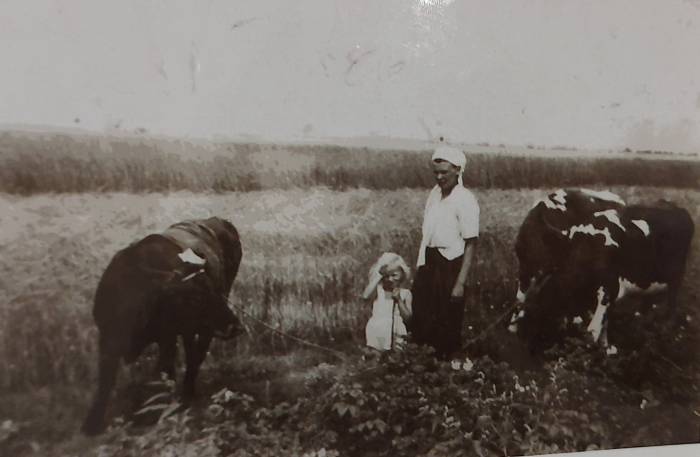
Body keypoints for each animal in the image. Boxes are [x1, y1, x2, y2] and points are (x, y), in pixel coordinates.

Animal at [80, 217, 241, 434]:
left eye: (214, 291)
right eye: (195, 298)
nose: (235, 326)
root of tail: (217, 220)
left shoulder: (167, 339)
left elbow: (162, 374)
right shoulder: (107, 339)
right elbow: (105, 381)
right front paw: (92, 424)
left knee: (196, 355)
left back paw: (187, 393)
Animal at [508, 189, 696, 352]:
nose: (526, 349)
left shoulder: (608, 288)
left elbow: (593, 330)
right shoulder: (527, 273)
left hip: (676, 278)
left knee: (671, 310)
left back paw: (666, 335)